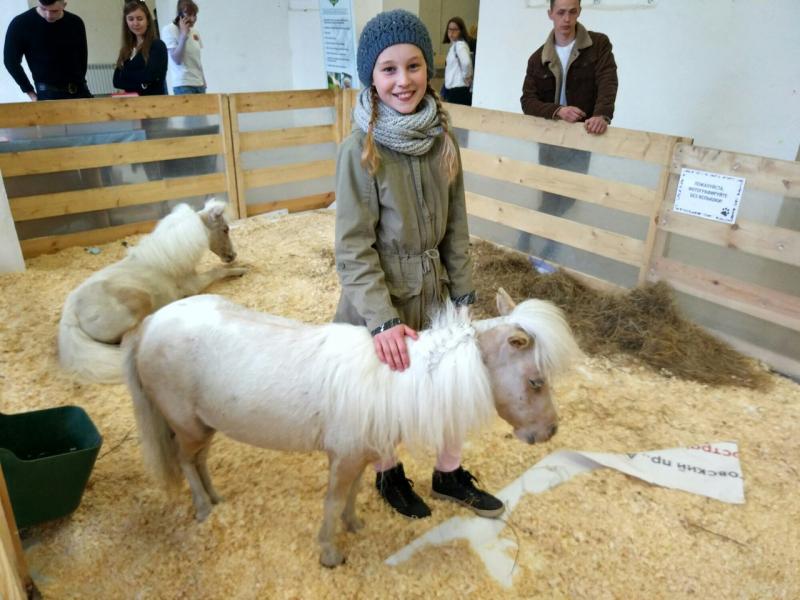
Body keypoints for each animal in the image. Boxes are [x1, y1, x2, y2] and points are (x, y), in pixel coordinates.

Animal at [58, 199, 245, 382]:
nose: (233, 256)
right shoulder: (194, 284)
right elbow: (217, 271)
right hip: (139, 302)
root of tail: (71, 315)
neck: (171, 257)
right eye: (225, 229)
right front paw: (240, 270)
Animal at [122, 290, 580, 568]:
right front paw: (329, 552)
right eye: (535, 381)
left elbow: (354, 493)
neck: (396, 385)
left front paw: (354, 526)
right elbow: (332, 500)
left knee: (198, 461)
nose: (550, 431)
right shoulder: (342, 458)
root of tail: (149, 325)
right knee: (186, 461)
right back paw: (203, 508)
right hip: (187, 425)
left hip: (205, 425)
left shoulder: (361, 455)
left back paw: (216, 499)